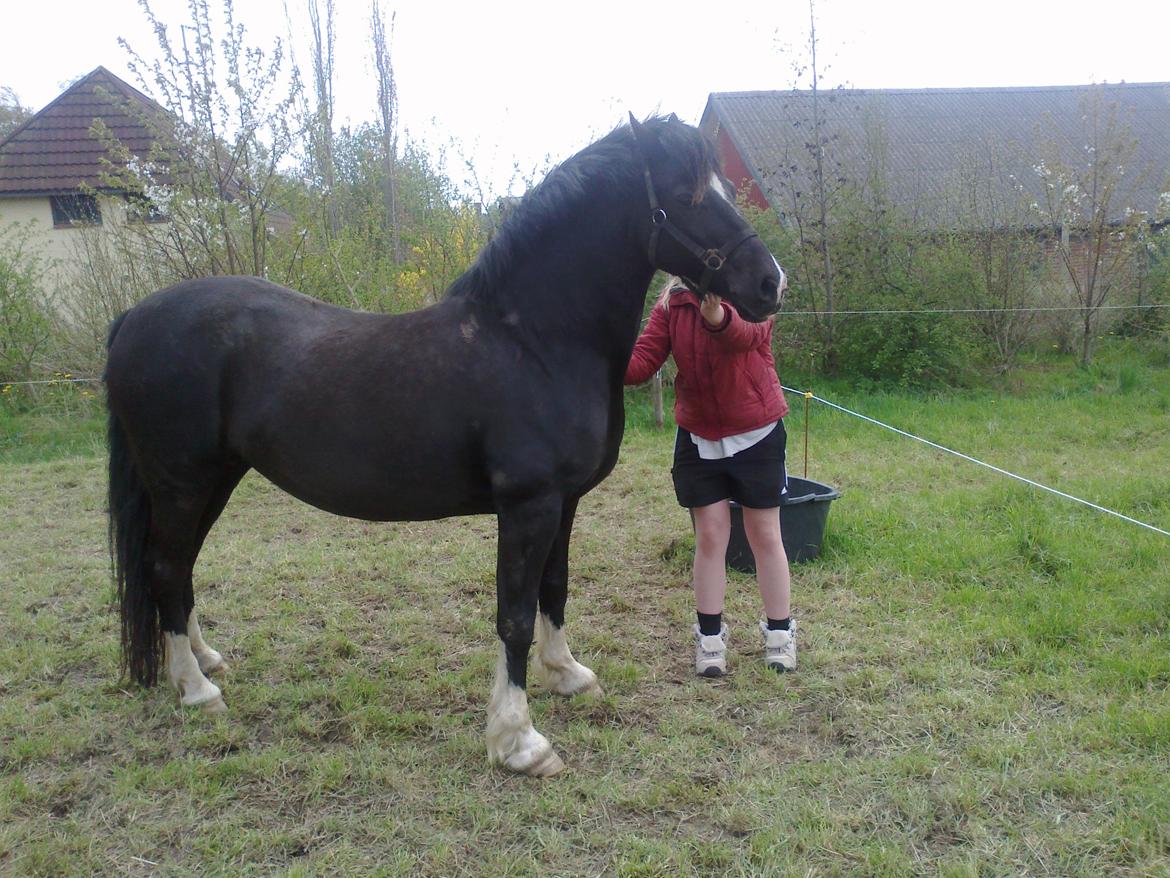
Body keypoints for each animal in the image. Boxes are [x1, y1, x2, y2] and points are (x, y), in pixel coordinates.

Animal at [105, 115, 781, 777]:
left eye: (723, 187)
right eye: (686, 196)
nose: (769, 283)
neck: (536, 342)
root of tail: (135, 316)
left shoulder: (564, 503)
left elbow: (554, 589)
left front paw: (566, 675)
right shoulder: (528, 505)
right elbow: (513, 615)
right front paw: (518, 741)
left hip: (215, 479)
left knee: (181, 570)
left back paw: (205, 661)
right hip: (182, 482)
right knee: (166, 568)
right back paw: (197, 690)